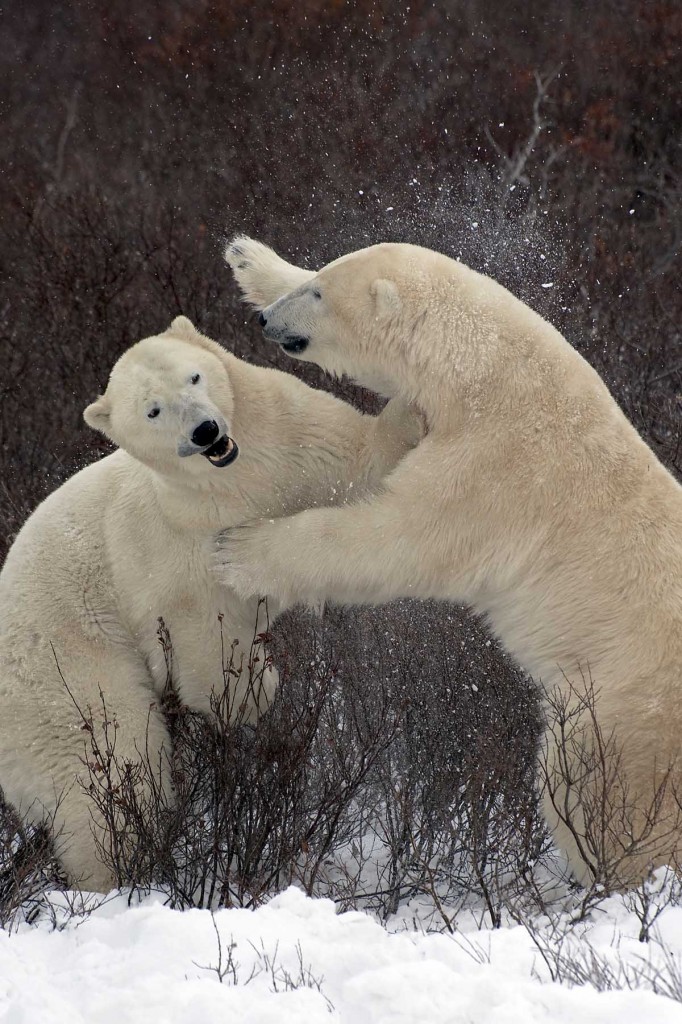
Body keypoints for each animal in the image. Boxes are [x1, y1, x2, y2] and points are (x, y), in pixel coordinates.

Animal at [0, 309, 419, 888]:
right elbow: (204, 633)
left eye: (194, 376)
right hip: (63, 676)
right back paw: (123, 872)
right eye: (153, 410)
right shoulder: (175, 539)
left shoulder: (294, 439)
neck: (239, 477)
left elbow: (361, 463)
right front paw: (253, 695)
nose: (205, 431)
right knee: (114, 765)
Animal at [218, 237, 679, 888]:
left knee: (596, 787)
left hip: (626, 705)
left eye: (320, 295)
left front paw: (239, 551)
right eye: (316, 276)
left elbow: (394, 538)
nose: (265, 321)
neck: (485, 370)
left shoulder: (493, 469)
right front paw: (249, 258)